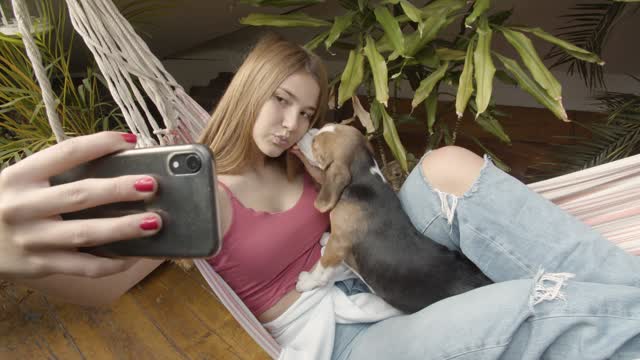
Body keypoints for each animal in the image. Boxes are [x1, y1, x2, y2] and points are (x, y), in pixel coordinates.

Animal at [298, 123, 492, 312]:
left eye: (314, 144)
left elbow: (322, 268)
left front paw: (306, 281)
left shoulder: (338, 244)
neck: (365, 176)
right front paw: (325, 237)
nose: (305, 131)